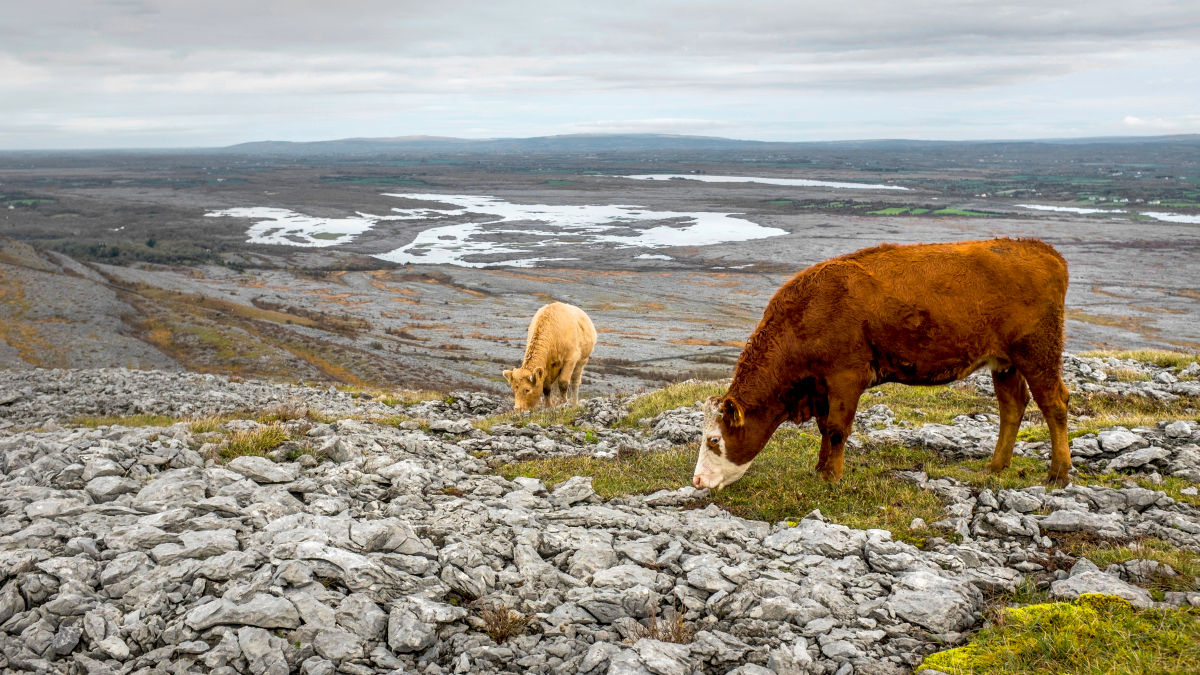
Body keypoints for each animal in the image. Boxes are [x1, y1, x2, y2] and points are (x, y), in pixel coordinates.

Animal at [691, 236, 1075, 487]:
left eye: (714, 439)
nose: (696, 481)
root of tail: (1041, 249)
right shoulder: (822, 385)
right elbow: (824, 428)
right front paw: (820, 469)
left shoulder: (846, 376)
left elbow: (836, 428)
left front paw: (832, 477)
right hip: (1004, 361)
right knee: (1013, 406)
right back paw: (995, 467)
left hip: (1038, 351)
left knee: (1054, 403)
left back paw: (1057, 473)